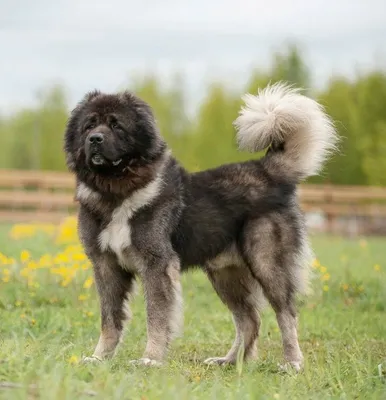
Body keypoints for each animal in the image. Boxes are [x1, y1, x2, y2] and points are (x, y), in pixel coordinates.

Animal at [64, 83, 338, 370]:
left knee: (286, 313)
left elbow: (156, 317)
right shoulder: (105, 266)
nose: (95, 139)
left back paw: (292, 362)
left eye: (116, 125)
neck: (116, 193)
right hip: (225, 274)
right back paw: (230, 361)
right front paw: (99, 358)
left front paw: (150, 358)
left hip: (267, 264)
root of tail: (266, 171)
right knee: (249, 319)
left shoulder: (156, 265)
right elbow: (109, 319)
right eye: (89, 125)